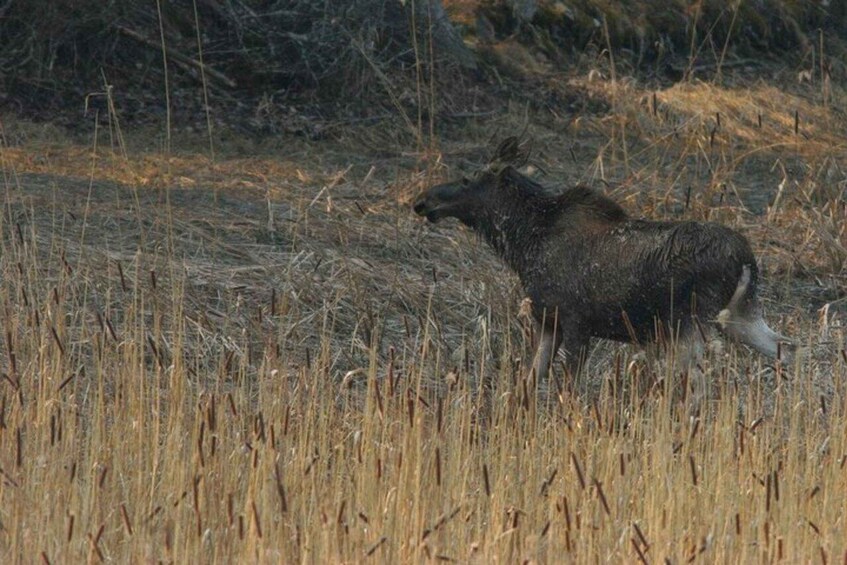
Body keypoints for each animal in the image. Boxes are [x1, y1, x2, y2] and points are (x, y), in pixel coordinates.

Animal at [412, 138, 792, 387]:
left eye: (467, 178)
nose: (422, 200)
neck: (524, 245)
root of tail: (746, 258)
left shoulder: (576, 322)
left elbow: (568, 390)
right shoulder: (548, 321)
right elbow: (530, 382)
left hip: (690, 321)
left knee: (697, 382)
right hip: (741, 315)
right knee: (786, 349)